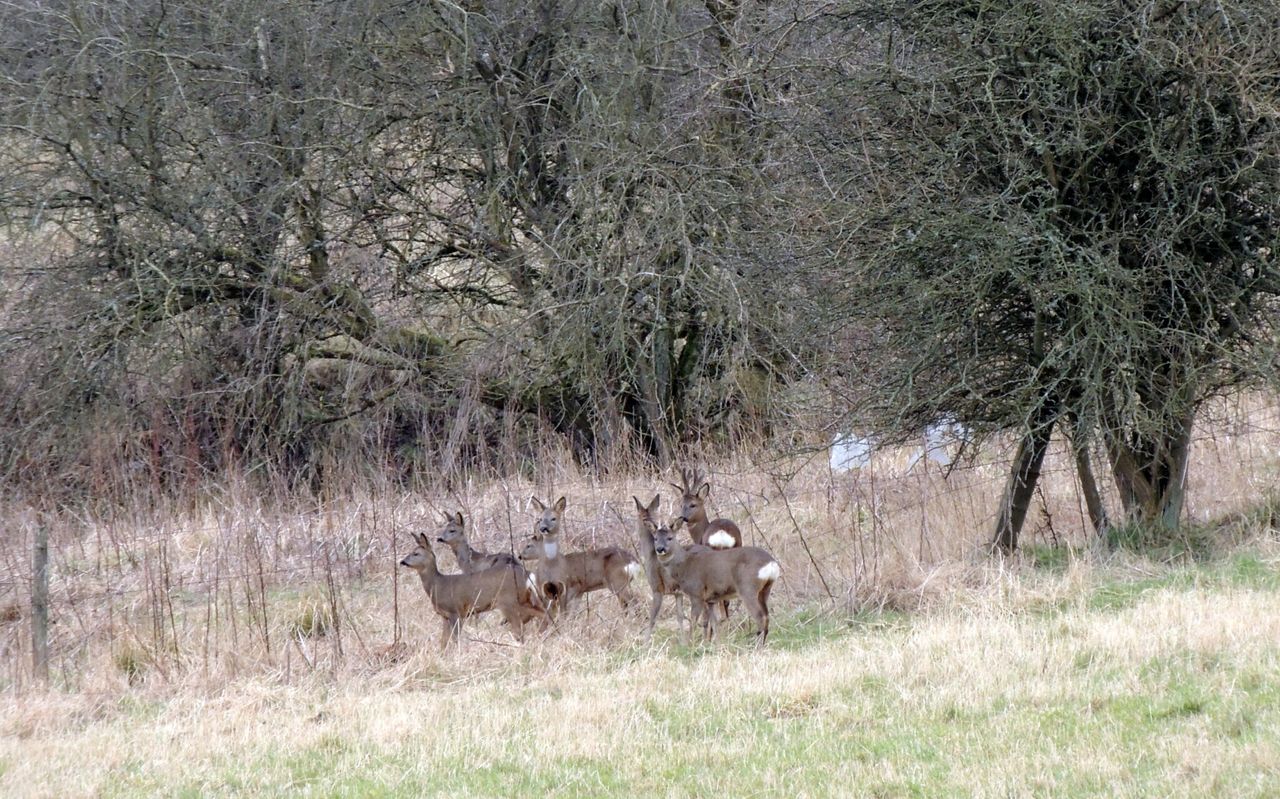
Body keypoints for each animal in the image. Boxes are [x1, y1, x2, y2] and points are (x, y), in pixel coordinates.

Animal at [398, 531, 545, 649]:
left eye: (416, 553)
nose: (402, 561)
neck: (438, 585)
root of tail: (528, 574)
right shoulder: (445, 616)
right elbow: (443, 641)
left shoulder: (456, 611)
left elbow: (454, 639)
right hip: (523, 600)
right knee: (541, 614)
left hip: (509, 601)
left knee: (521, 627)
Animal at [651, 515, 779, 645]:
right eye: (655, 538)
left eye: (670, 538)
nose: (660, 549)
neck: (684, 565)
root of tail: (772, 564)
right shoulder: (711, 599)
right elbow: (714, 623)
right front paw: (716, 643)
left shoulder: (696, 593)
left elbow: (693, 622)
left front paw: (690, 644)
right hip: (765, 590)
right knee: (766, 616)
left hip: (748, 588)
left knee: (760, 617)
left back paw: (757, 645)